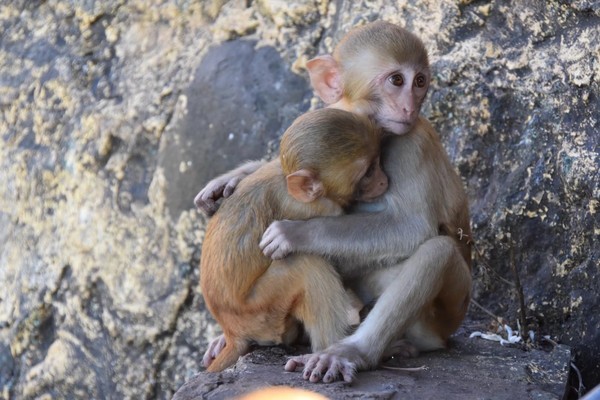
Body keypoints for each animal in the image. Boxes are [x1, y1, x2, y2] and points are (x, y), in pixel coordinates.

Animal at [200, 107, 390, 372]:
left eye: (377, 160)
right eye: (368, 172)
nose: (383, 180)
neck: (286, 178)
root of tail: (232, 332)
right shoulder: (319, 207)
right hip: (261, 313)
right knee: (307, 266)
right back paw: (330, 351)